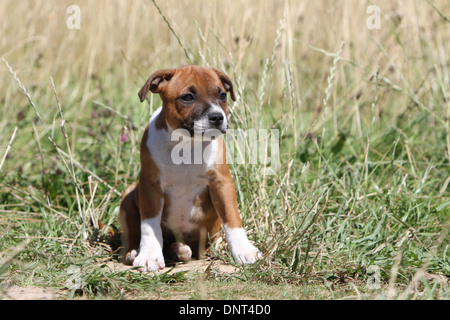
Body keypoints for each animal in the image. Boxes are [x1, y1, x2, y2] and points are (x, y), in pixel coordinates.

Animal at [119, 65, 262, 272]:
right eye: (187, 97)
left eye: (222, 95)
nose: (217, 117)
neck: (187, 144)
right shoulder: (150, 186)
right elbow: (149, 225)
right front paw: (149, 255)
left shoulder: (222, 182)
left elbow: (232, 216)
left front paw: (244, 250)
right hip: (129, 196)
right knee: (133, 234)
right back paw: (137, 252)